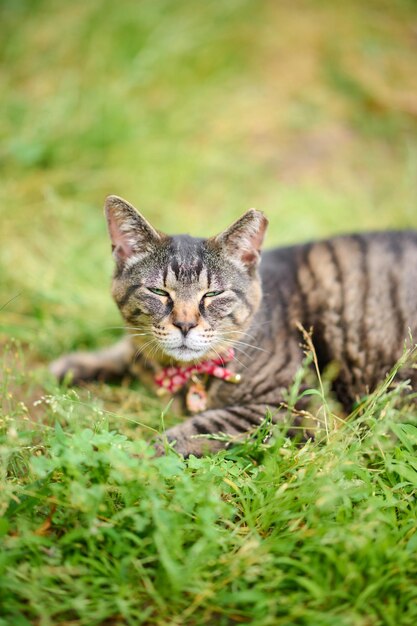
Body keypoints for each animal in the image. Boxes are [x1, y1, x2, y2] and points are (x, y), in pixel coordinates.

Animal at [50, 194, 416, 454]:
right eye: (158, 291)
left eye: (213, 294)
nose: (185, 324)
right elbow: (127, 351)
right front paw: (76, 365)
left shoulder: (288, 406)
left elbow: (195, 427)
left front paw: (137, 454)